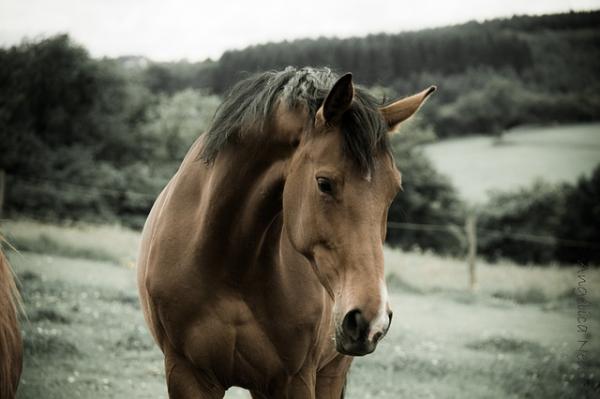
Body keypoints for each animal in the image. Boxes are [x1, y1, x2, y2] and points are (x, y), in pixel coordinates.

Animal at [138, 67, 434, 398]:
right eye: (324, 183)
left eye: (394, 190)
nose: (372, 320)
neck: (230, 263)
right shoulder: (186, 373)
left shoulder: (294, 380)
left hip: (329, 372)